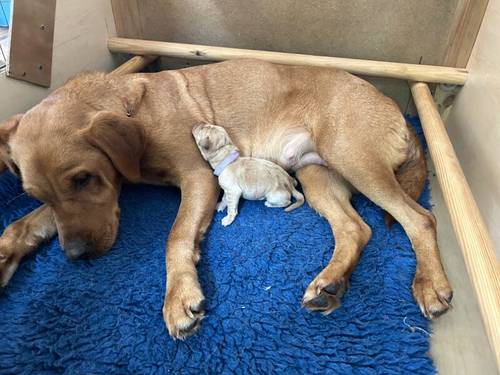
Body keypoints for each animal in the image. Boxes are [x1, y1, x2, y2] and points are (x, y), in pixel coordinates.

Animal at [0, 58, 454, 338]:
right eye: (35, 192)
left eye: (83, 179)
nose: (76, 256)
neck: (132, 112)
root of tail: (393, 105)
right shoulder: (111, 188)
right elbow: (27, 222)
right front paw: (6, 251)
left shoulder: (197, 178)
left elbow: (176, 236)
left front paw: (179, 296)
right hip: (316, 174)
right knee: (355, 228)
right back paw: (330, 282)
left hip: (353, 157)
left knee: (420, 218)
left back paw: (430, 284)